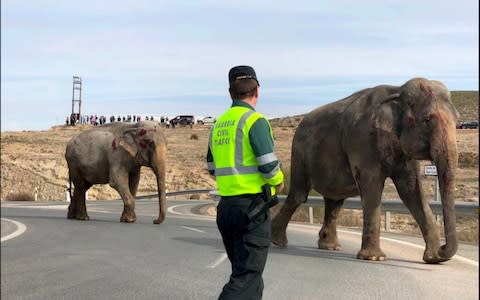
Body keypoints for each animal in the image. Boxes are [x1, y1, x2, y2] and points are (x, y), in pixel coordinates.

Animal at [272, 77, 460, 262]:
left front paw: (433, 258)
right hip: (299, 152)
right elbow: (372, 186)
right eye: (427, 119)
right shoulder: (363, 141)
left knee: (335, 201)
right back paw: (278, 241)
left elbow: (411, 191)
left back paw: (330, 246)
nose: (443, 248)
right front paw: (374, 258)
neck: (397, 90)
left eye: (457, 120)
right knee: (299, 195)